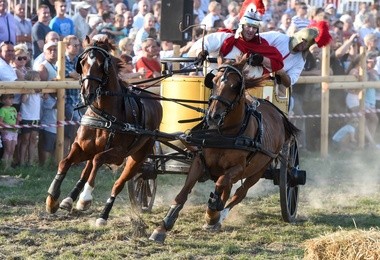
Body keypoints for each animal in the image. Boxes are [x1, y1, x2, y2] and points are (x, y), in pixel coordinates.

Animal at [45, 35, 162, 225]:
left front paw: (85, 199)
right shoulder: (82, 147)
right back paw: (69, 200)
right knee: (87, 169)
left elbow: (98, 160)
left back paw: (103, 215)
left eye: (101, 65)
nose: (87, 94)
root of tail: (156, 100)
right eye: (82, 62)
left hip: (138, 158)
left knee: (118, 183)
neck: (104, 114)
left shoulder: (118, 154)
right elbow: (65, 162)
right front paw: (53, 198)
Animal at [148, 55, 300, 244]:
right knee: (229, 190)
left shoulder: (239, 167)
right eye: (212, 82)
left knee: (240, 193)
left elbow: (221, 184)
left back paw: (219, 216)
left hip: (260, 169)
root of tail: (276, 111)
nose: (213, 116)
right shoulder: (199, 162)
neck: (225, 133)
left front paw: (212, 213)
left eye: (235, 86)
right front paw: (163, 226)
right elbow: (183, 193)